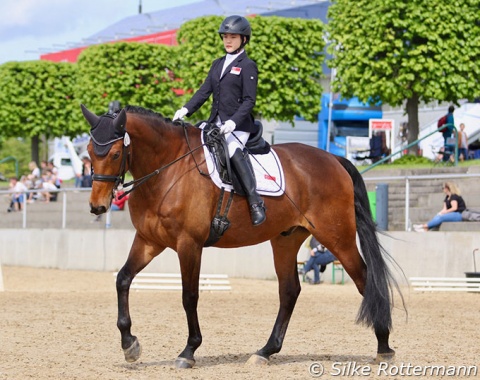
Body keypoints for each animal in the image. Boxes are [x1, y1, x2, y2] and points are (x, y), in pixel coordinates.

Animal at [81, 103, 402, 368]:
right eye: (89, 152)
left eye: (115, 153)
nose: (97, 206)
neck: (167, 170)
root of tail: (334, 159)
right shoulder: (149, 241)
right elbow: (123, 279)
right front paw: (129, 345)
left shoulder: (189, 244)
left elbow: (189, 296)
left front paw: (189, 351)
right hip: (286, 239)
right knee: (289, 291)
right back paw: (265, 351)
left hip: (337, 237)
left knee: (365, 279)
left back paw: (384, 346)